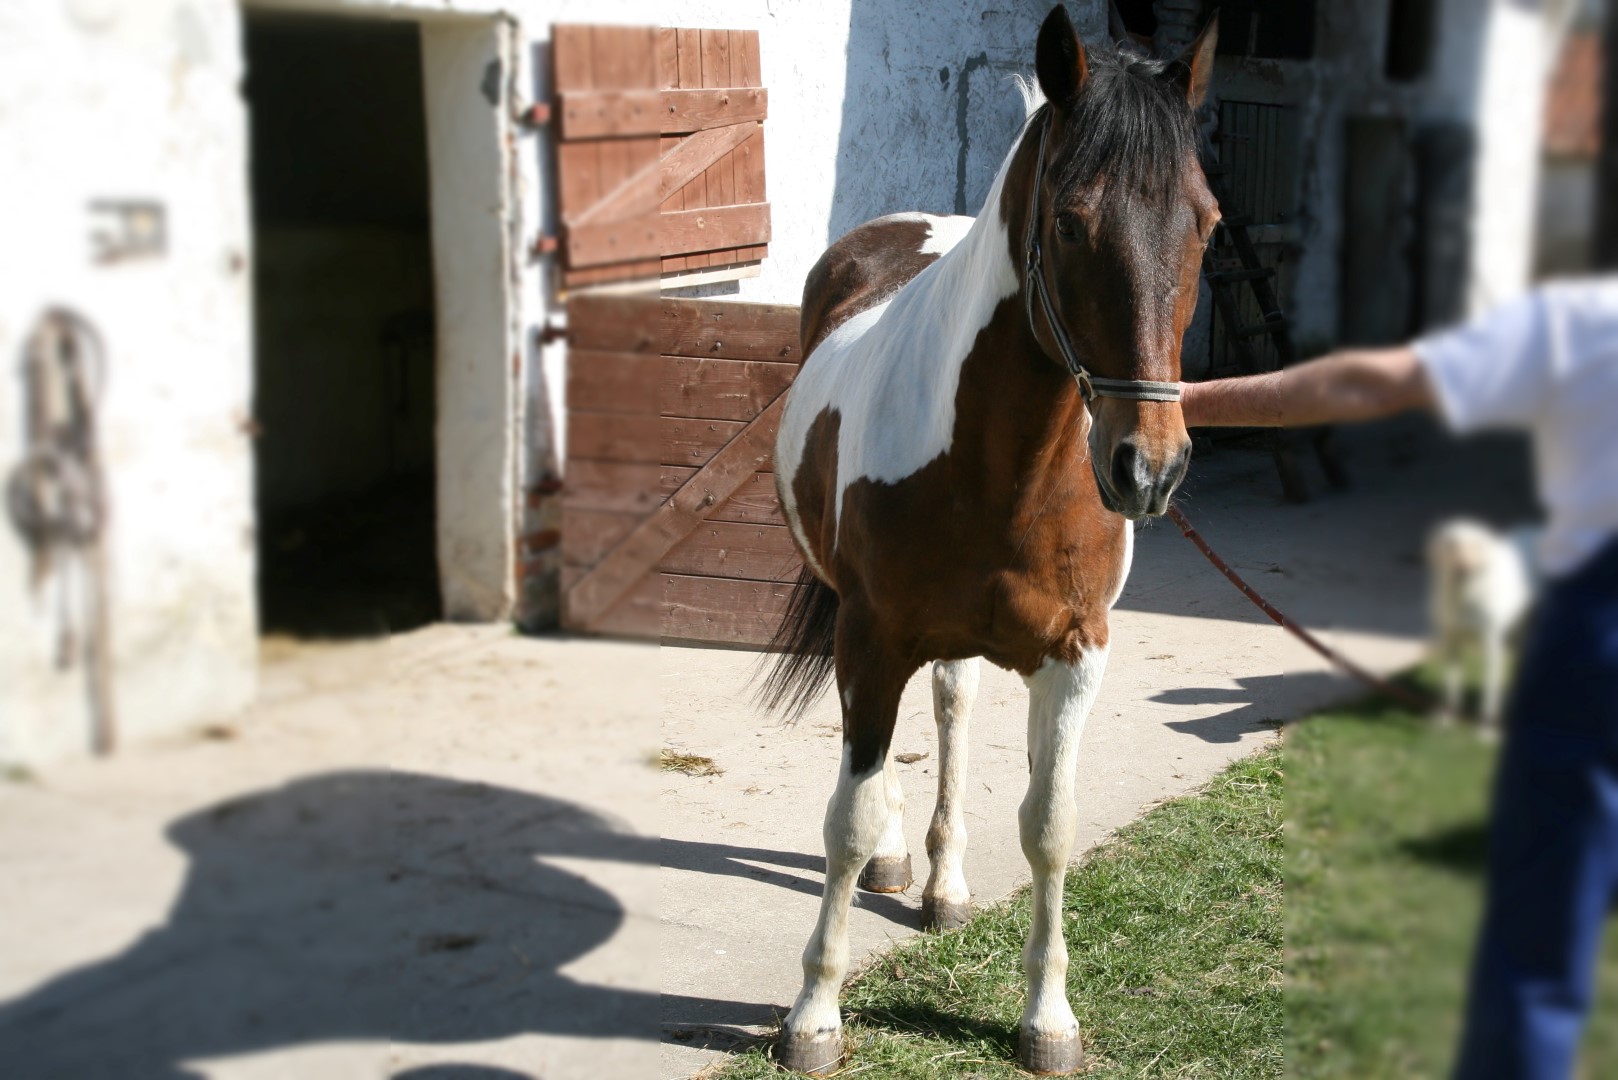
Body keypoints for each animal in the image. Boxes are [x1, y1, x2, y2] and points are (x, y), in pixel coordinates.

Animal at [763, 6, 1216, 1075]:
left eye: (1208, 221)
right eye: (1069, 222)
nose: (1150, 469)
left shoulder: (1077, 653)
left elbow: (1050, 827)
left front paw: (1047, 1018)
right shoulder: (871, 638)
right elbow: (846, 824)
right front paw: (815, 1014)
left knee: (954, 706)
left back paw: (944, 884)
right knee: (882, 759)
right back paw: (902, 860)